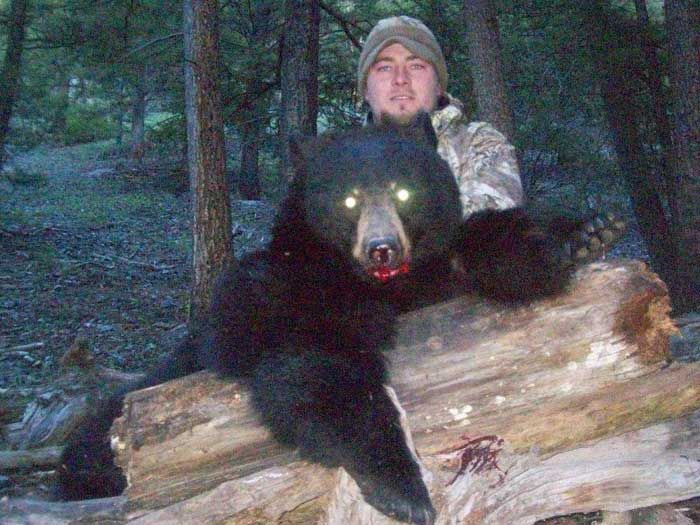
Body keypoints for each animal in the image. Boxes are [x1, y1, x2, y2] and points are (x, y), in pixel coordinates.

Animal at [57, 113, 573, 525]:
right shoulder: (286, 294)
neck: (373, 283)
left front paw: (568, 239)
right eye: (349, 200)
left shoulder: (428, 278)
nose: (381, 248)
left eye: (403, 192)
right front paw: (403, 488)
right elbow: (317, 366)